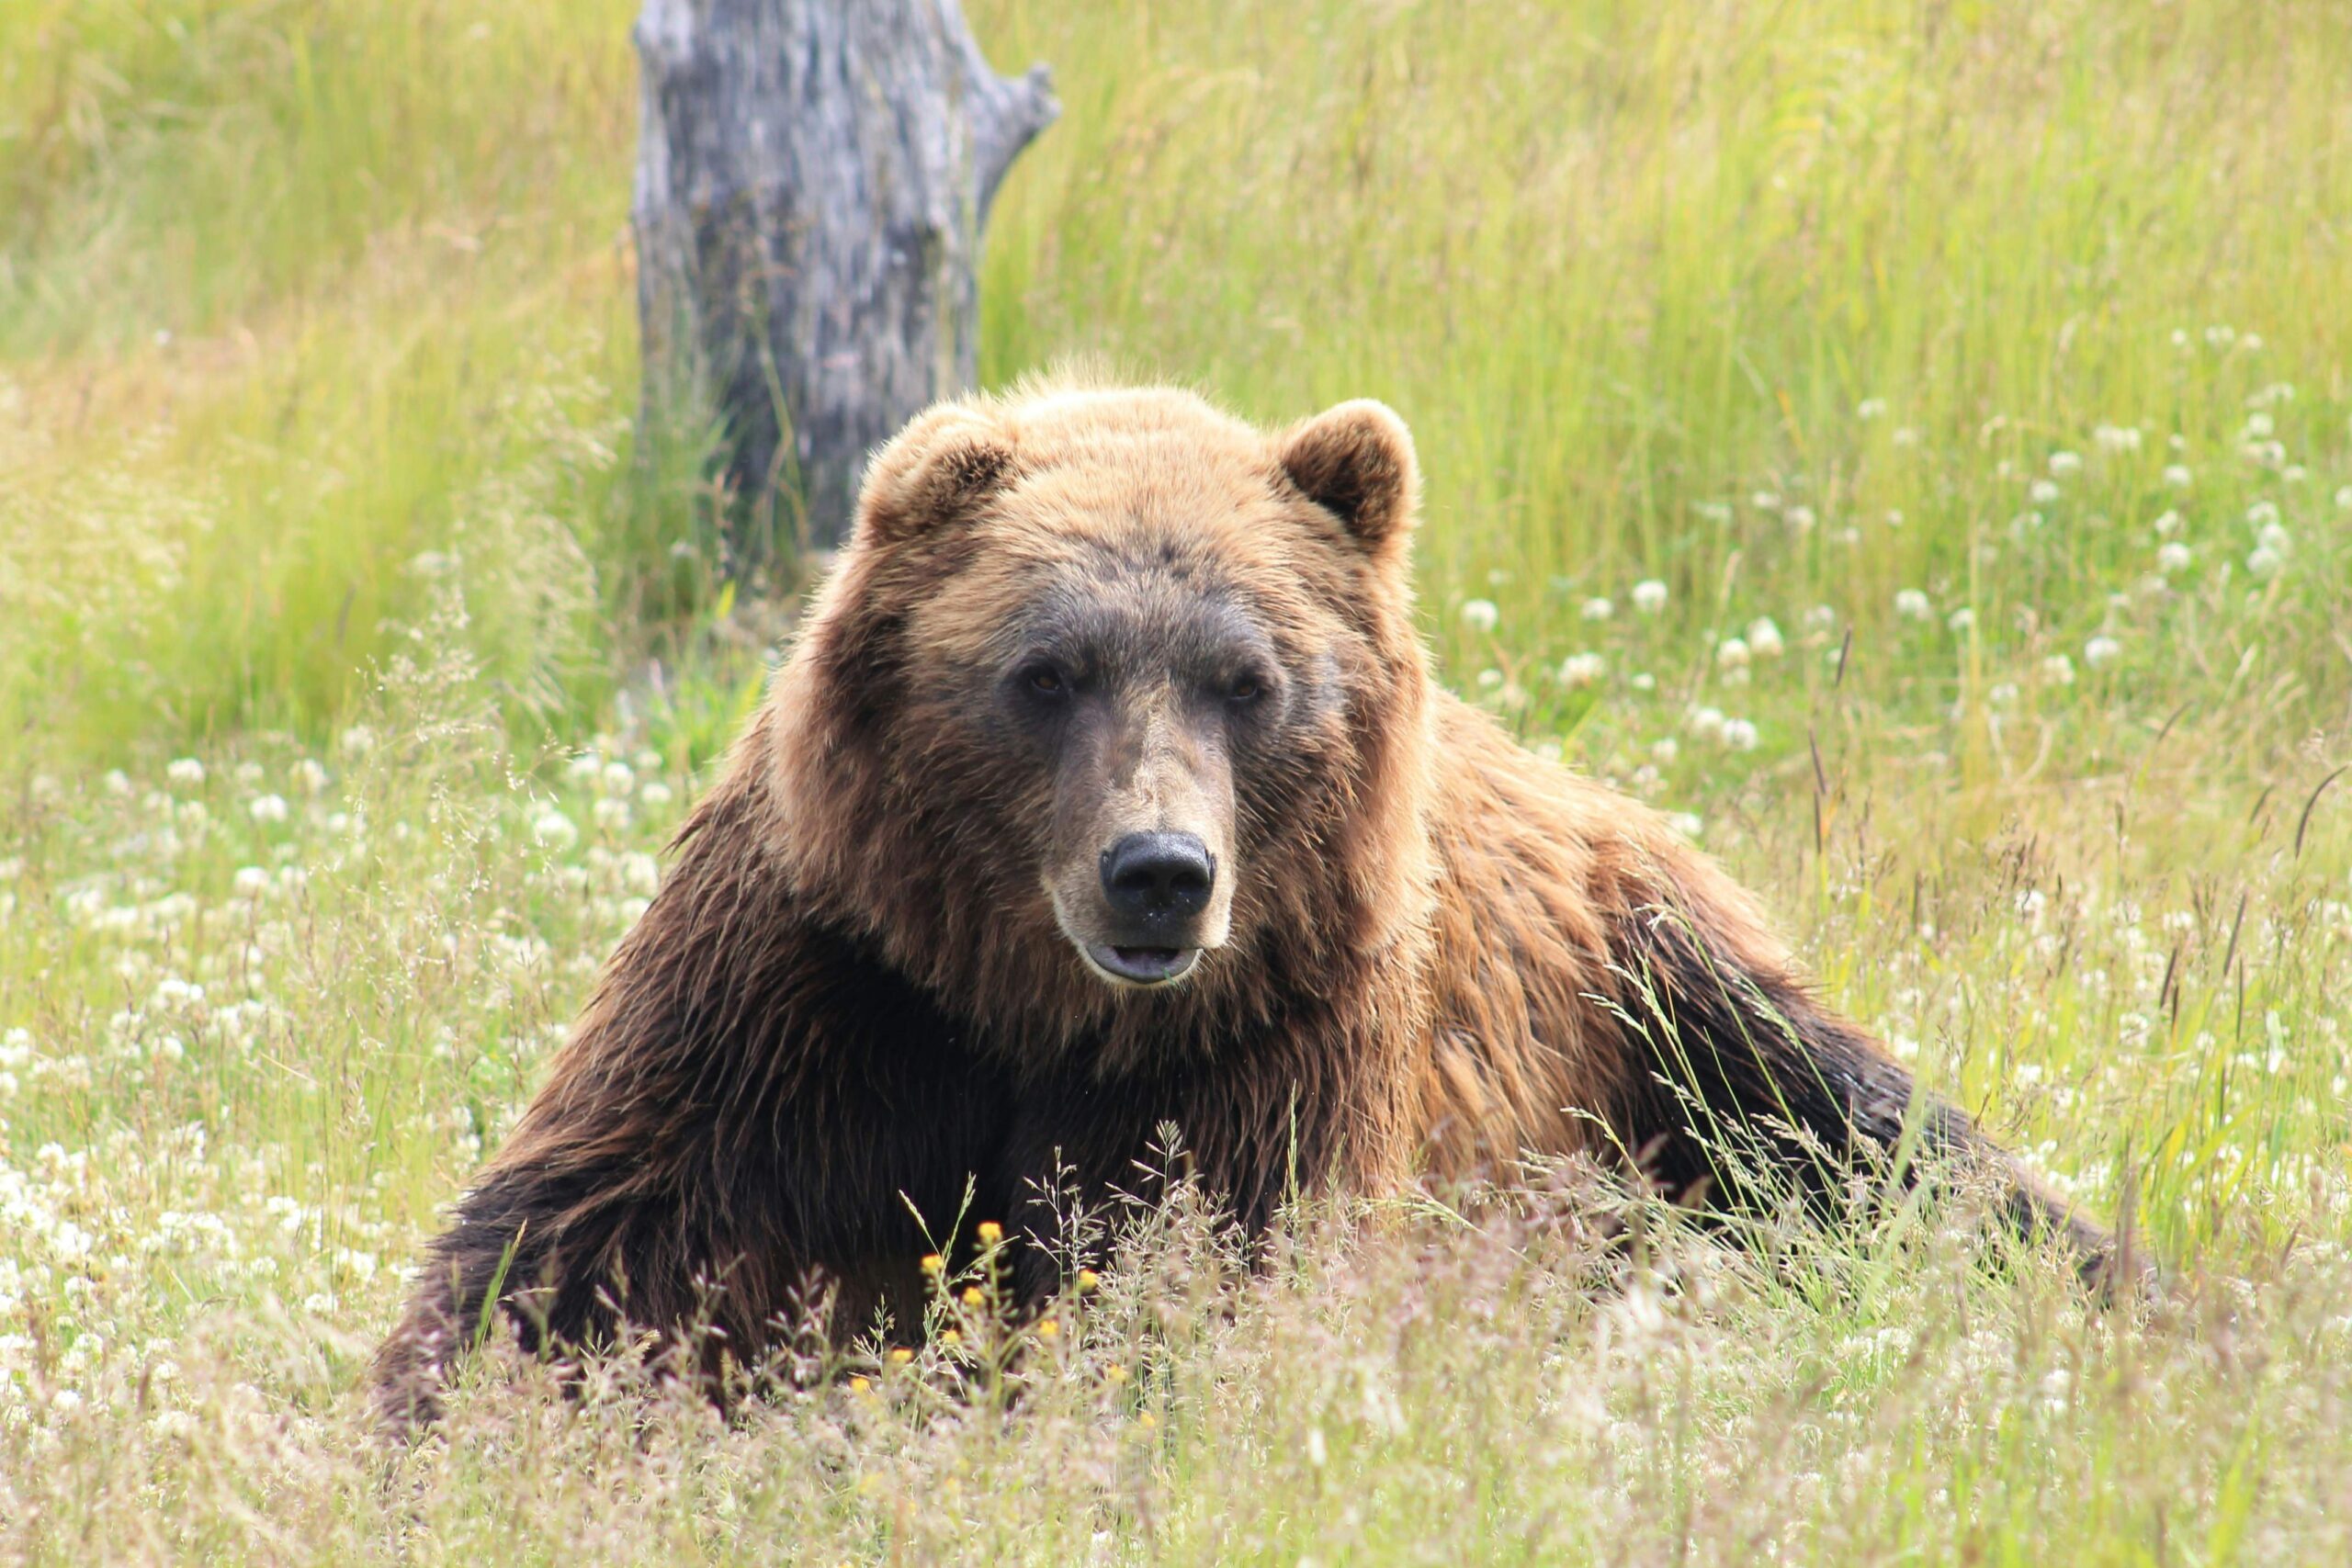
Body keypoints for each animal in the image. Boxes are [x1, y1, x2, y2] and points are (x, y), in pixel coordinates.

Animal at [367, 383, 2117, 1438]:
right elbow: (600, 1235)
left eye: (1248, 677)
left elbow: (1202, 1281)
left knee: (1887, 1147)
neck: (1036, 1007)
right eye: (1045, 669)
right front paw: (447, 1422)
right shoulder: (827, 985)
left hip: (1659, 998)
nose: (1159, 869)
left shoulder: (1271, 1039)